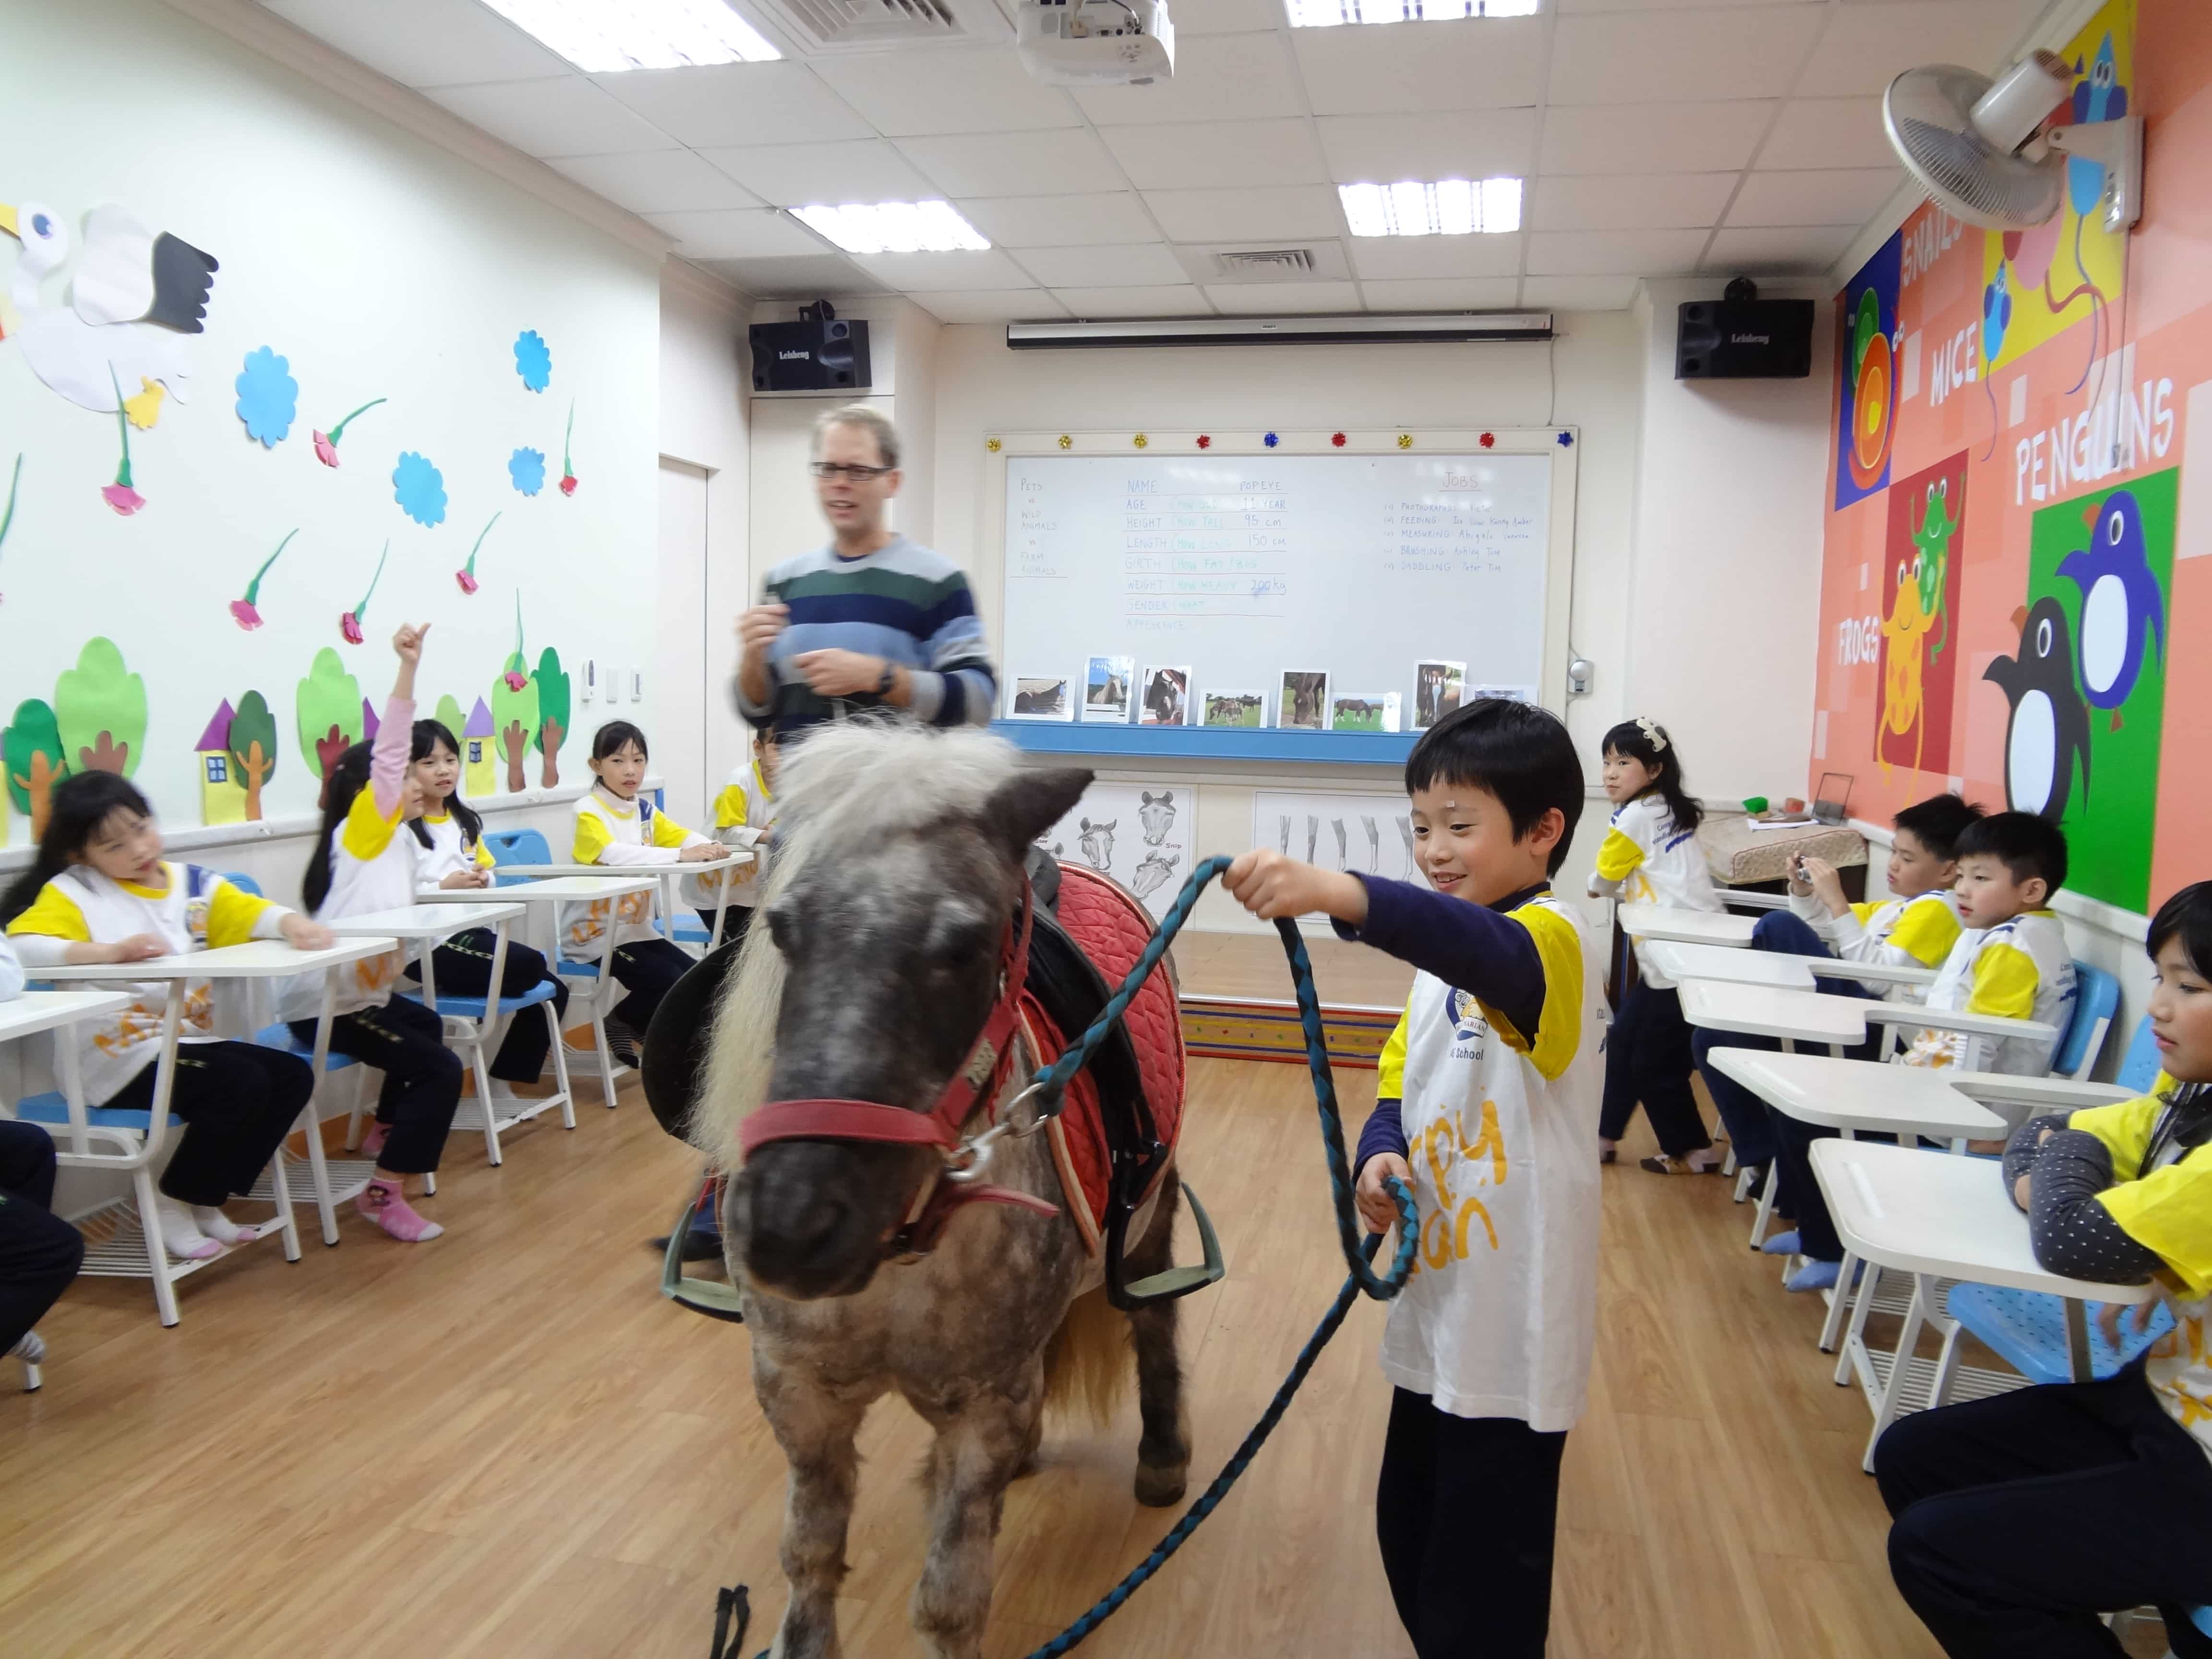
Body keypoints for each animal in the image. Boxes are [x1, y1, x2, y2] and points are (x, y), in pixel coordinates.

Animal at [694, 722, 1193, 1659]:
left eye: (962, 946)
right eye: (781, 928)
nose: (789, 1225)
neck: (903, 1249)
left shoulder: (978, 1414)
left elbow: (950, 1603)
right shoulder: (799, 1395)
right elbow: (809, 1560)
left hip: (1151, 1218)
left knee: (1153, 1318)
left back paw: (1163, 1457)